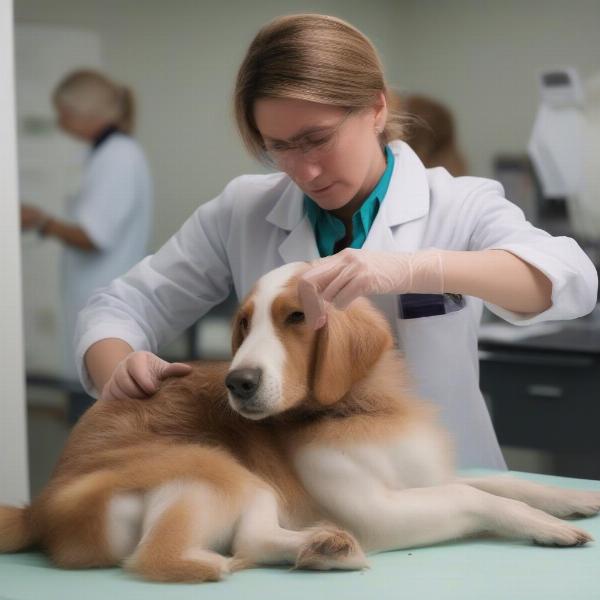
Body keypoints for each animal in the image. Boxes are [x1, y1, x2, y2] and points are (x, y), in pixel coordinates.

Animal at [1, 262, 600, 580]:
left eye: (294, 316)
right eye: (243, 323)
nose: (237, 383)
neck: (362, 408)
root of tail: (39, 510)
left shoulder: (427, 477)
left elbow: (506, 483)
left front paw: (574, 498)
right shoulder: (379, 513)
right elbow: (475, 495)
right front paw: (545, 525)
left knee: (256, 536)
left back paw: (322, 547)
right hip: (219, 467)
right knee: (184, 552)